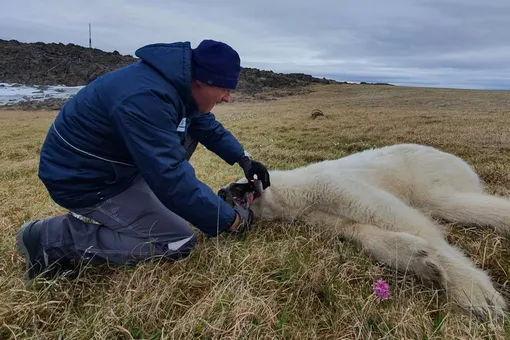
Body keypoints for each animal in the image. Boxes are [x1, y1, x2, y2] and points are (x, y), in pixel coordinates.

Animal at [219, 143, 510, 322]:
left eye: (237, 184)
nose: (222, 192)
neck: (292, 193)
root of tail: (462, 164)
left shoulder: (329, 185)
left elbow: (390, 214)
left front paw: (474, 292)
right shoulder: (316, 214)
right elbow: (356, 230)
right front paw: (420, 260)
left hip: (428, 173)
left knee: (448, 202)